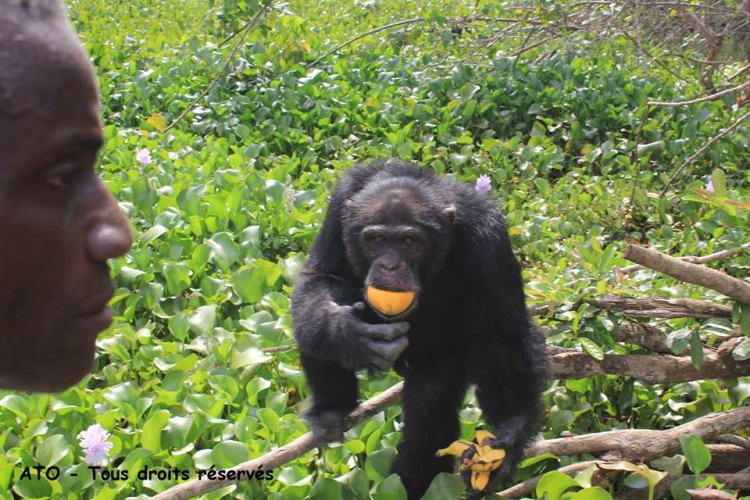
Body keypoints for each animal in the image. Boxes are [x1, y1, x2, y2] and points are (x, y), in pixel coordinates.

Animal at [292, 159, 548, 496]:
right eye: (376, 240)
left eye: (409, 241)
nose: (389, 265)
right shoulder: (338, 210)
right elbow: (322, 277)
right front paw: (344, 331)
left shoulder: (488, 237)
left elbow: (500, 329)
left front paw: (511, 431)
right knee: (321, 317)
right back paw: (330, 412)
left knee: (429, 405)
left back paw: (412, 484)